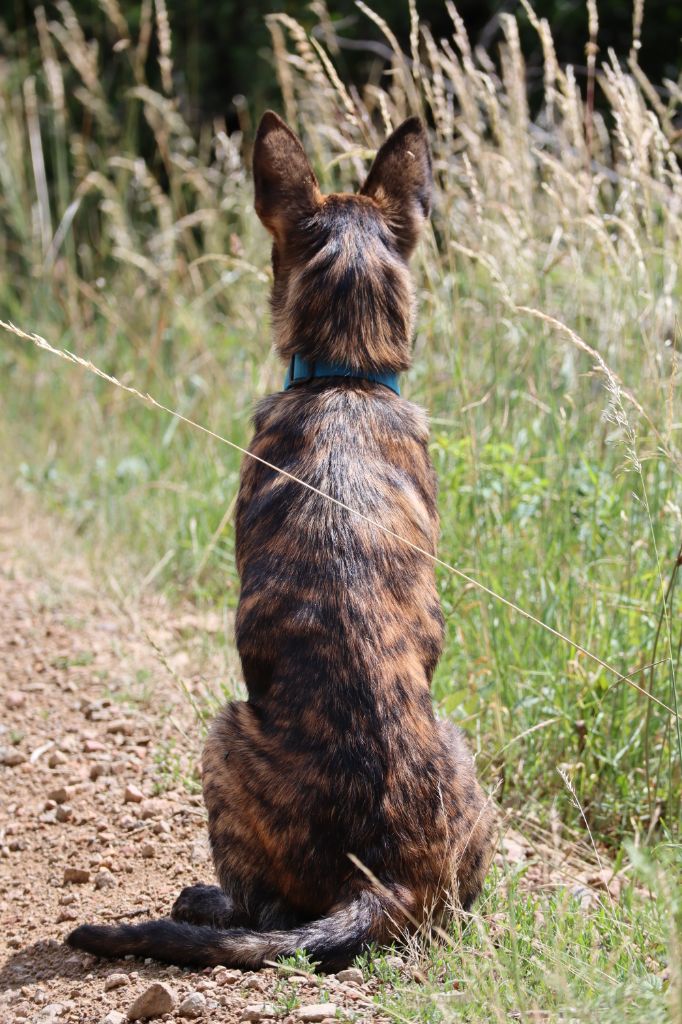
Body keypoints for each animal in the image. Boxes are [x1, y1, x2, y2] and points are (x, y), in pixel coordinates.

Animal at [67, 110, 493, 966]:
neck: (345, 377)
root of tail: (384, 882)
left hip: (223, 736)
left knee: (259, 908)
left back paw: (205, 901)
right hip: (461, 751)